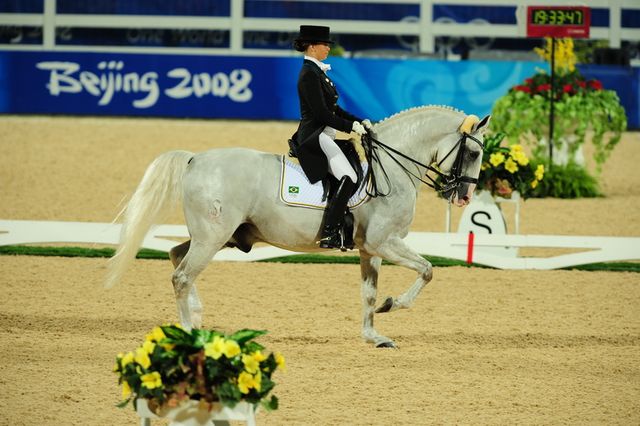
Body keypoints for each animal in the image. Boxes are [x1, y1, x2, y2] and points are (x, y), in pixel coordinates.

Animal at [105, 105, 490, 348]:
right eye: (472, 153)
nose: (464, 197)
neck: (391, 169)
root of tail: (195, 159)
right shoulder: (385, 242)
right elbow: (427, 270)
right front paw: (392, 305)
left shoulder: (371, 249)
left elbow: (369, 293)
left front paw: (374, 336)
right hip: (212, 237)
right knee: (182, 276)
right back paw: (189, 332)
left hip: (215, 236)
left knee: (174, 255)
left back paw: (196, 317)